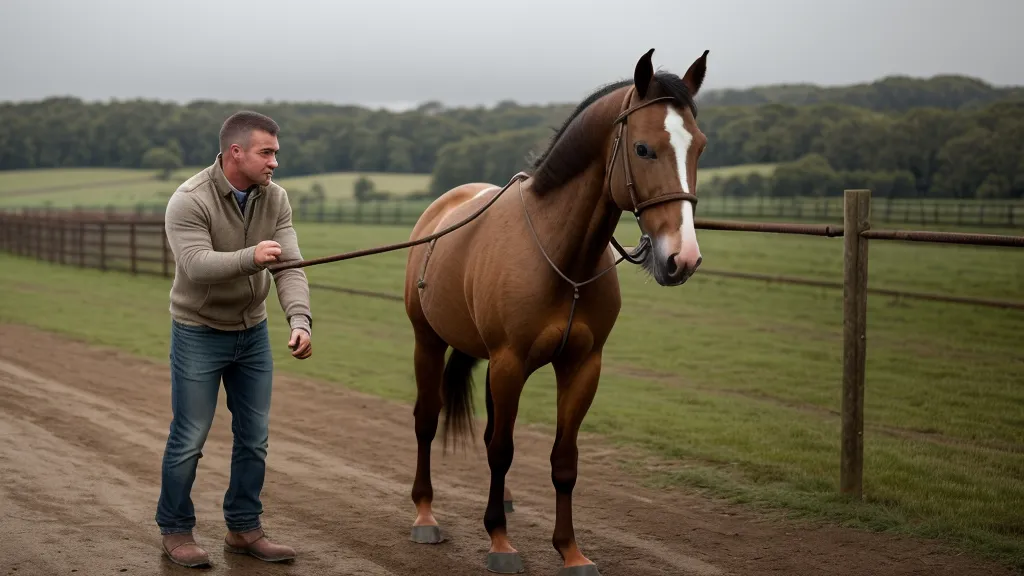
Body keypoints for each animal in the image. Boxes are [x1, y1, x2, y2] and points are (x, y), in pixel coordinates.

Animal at [401, 47, 709, 575]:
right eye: (644, 149)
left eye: (700, 148)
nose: (682, 258)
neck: (561, 255)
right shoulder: (509, 363)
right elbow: (502, 451)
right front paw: (500, 543)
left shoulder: (581, 366)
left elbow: (563, 461)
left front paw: (570, 550)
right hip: (428, 341)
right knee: (427, 421)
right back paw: (425, 514)